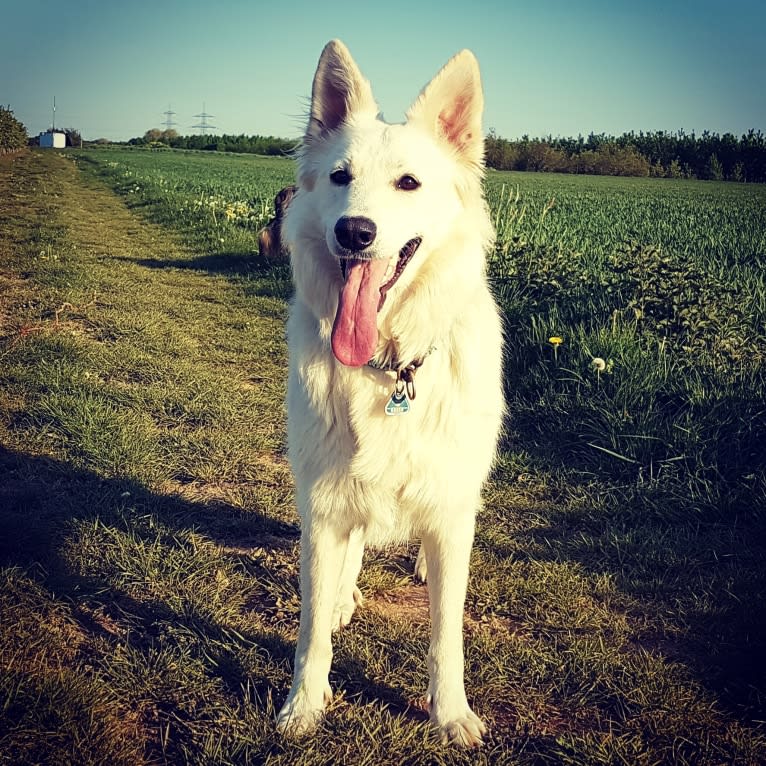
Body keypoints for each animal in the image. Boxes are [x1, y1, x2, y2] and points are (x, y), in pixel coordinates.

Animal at [280, 39, 508, 748]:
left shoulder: (451, 512)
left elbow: (446, 633)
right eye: (339, 177)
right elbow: (310, 630)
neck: (387, 366)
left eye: (408, 183)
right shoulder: (324, 504)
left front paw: (450, 712)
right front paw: (303, 706)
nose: (354, 232)